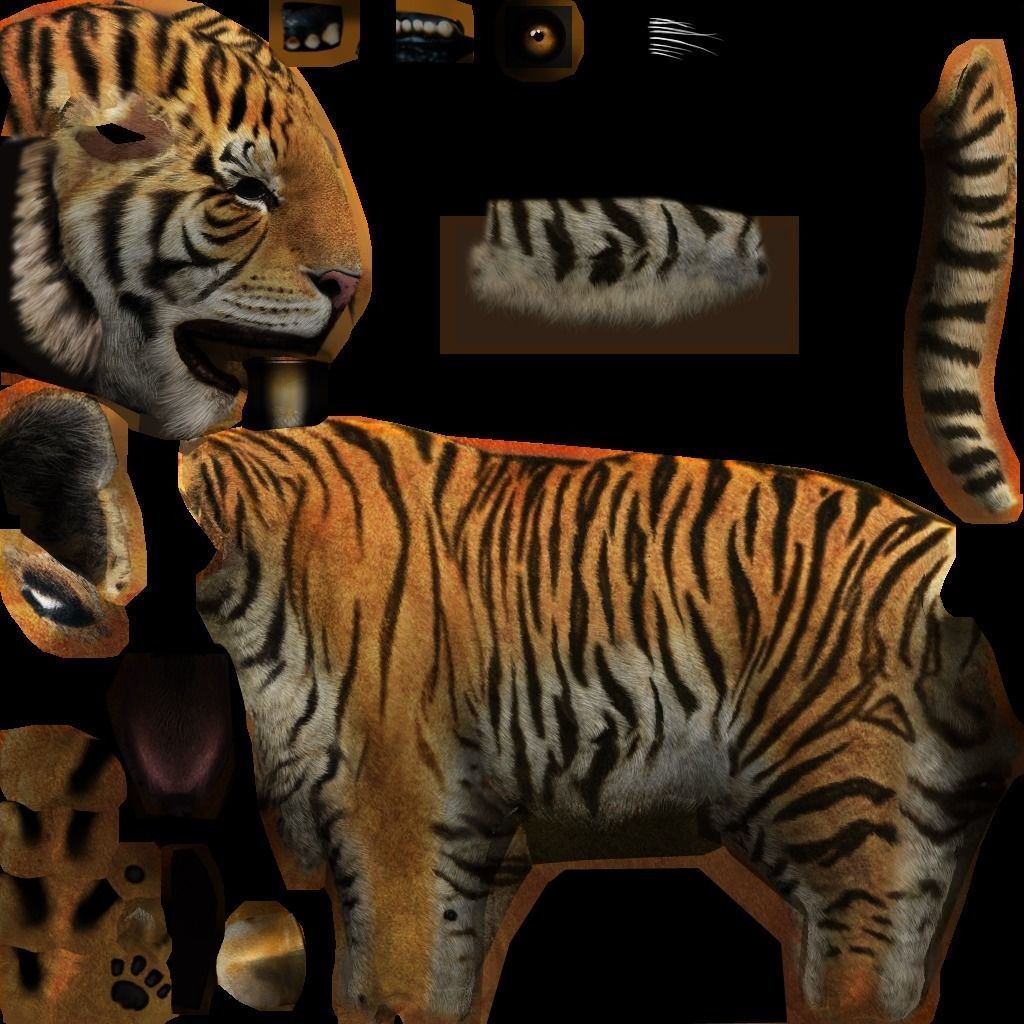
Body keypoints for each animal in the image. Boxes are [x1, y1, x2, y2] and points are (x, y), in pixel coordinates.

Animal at [178, 419, 1023, 1023]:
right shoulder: (478, 832)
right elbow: (440, 973)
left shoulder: (398, 812)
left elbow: (398, 976)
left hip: (845, 814)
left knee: (860, 971)